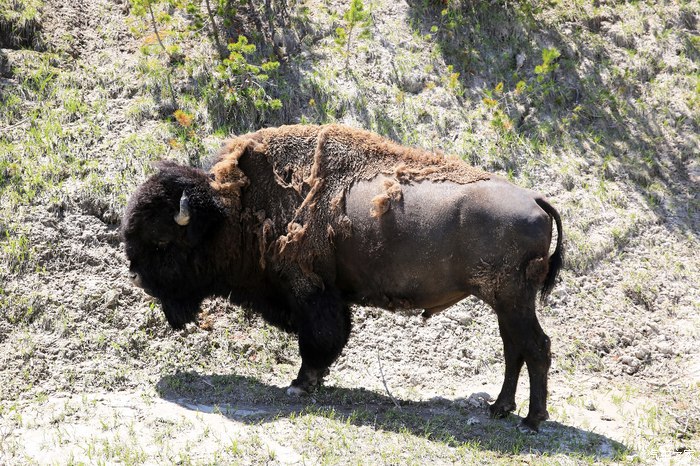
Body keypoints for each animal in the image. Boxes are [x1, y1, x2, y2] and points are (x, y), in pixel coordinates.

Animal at [121, 124, 563, 432]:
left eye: (162, 240)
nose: (137, 277)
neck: (230, 211)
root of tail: (535, 199)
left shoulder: (309, 291)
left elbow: (319, 339)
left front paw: (301, 384)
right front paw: (312, 382)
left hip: (512, 299)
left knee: (536, 346)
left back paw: (531, 420)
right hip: (506, 303)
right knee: (515, 348)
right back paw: (499, 409)